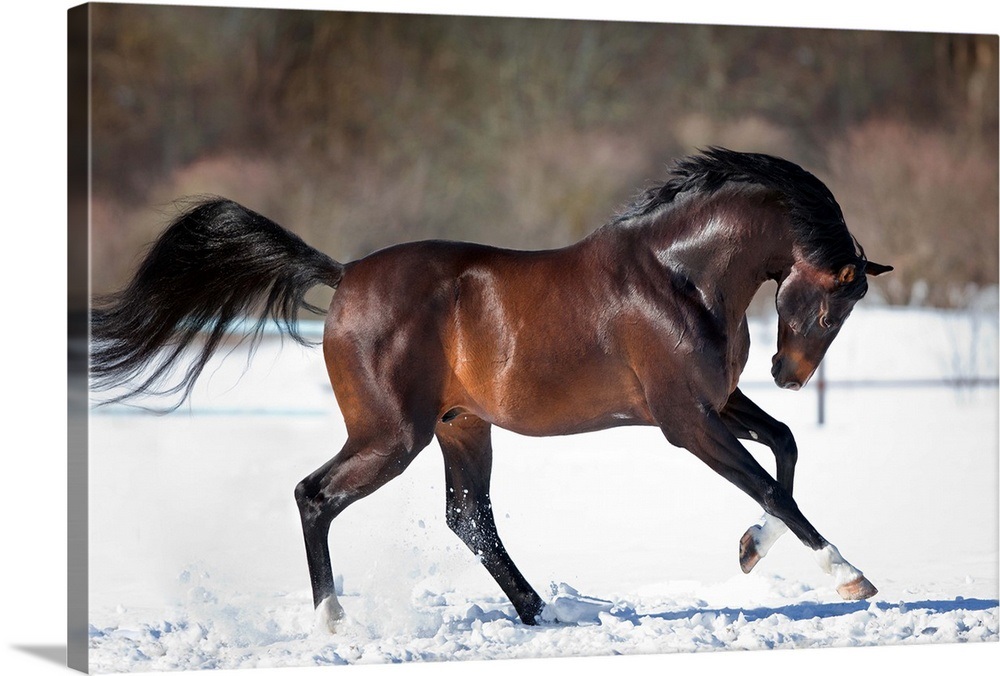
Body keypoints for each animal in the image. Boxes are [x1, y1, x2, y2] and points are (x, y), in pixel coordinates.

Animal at [91, 147, 892, 632]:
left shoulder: (715, 403)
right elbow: (769, 484)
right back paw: (334, 623)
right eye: (833, 304)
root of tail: (344, 276)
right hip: (392, 436)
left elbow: (784, 452)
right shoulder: (684, 420)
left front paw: (752, 550)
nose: (789, 374)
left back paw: (542, 614)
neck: (680, 276)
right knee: (316, 496)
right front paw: (850, 577)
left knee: (468, 518)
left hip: (461, 427)